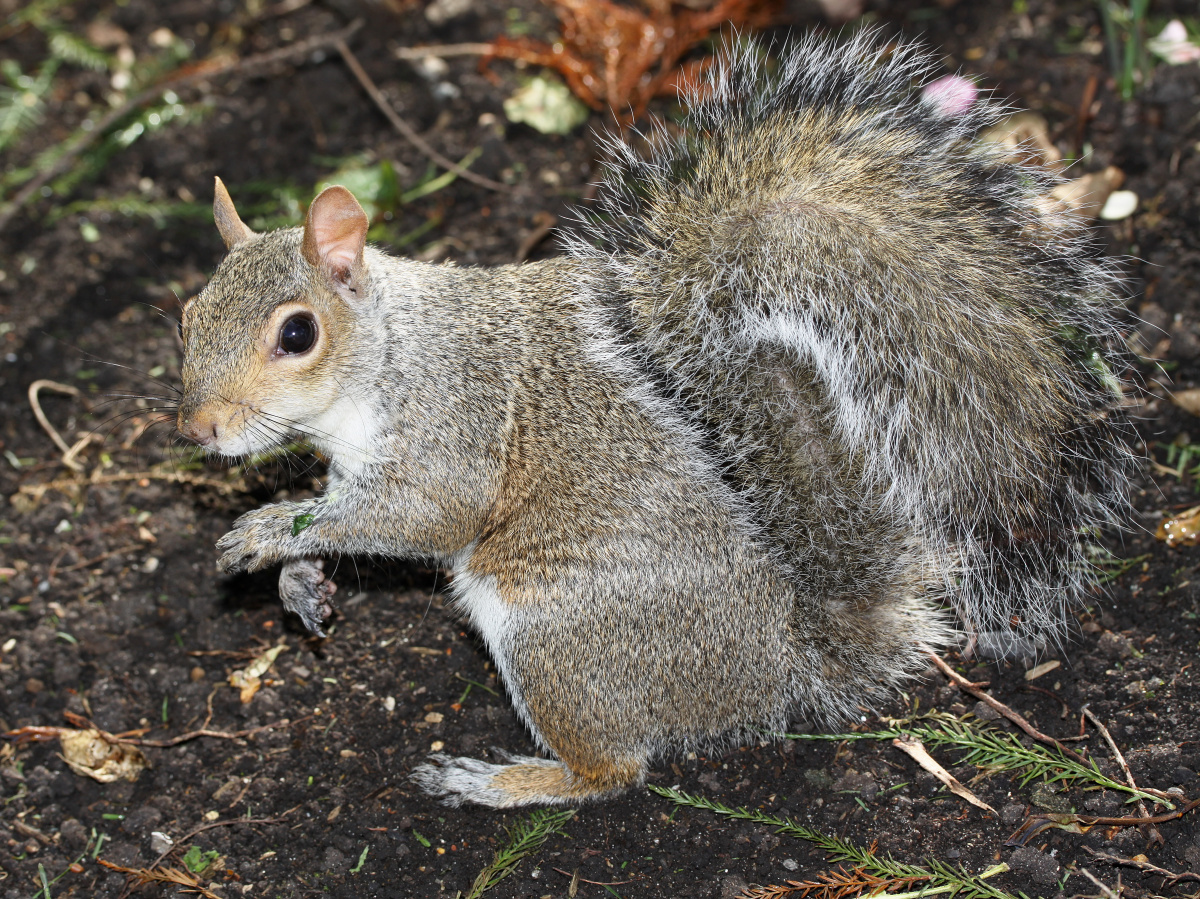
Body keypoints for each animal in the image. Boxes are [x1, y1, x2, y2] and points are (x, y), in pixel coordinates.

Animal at [174, 33, 1128, 806]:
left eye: (297, 334)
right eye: (187, 314)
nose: (201, 430)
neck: (386, 356)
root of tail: (781, 668)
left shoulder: (453, 422)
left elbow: (421, 518)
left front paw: (264, 534)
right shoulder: (350, 468)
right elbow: (338, 517)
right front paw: (300, 577)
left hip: (556, 632)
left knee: (614, 771)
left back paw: (505, 781)